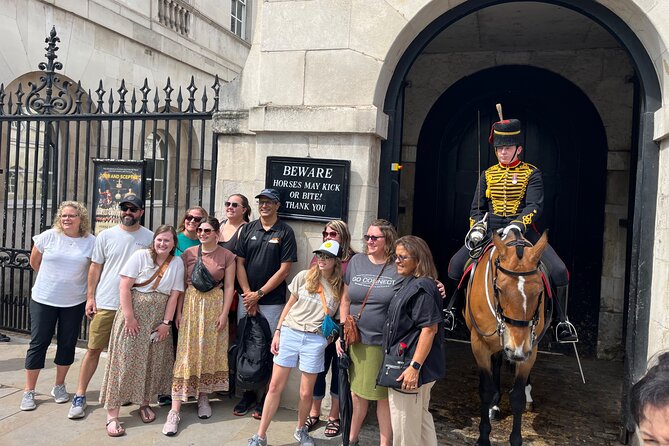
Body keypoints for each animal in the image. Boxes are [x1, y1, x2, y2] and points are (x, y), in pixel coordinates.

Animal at [464, 228, 548, 446]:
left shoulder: (530, 347)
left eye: (539, 291)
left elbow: (517, 396)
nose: (517, 350)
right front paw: (483, 437)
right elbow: (485, 390)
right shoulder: (479, 344)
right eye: (500, 289)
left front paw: (516, 439)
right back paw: (494, 404)